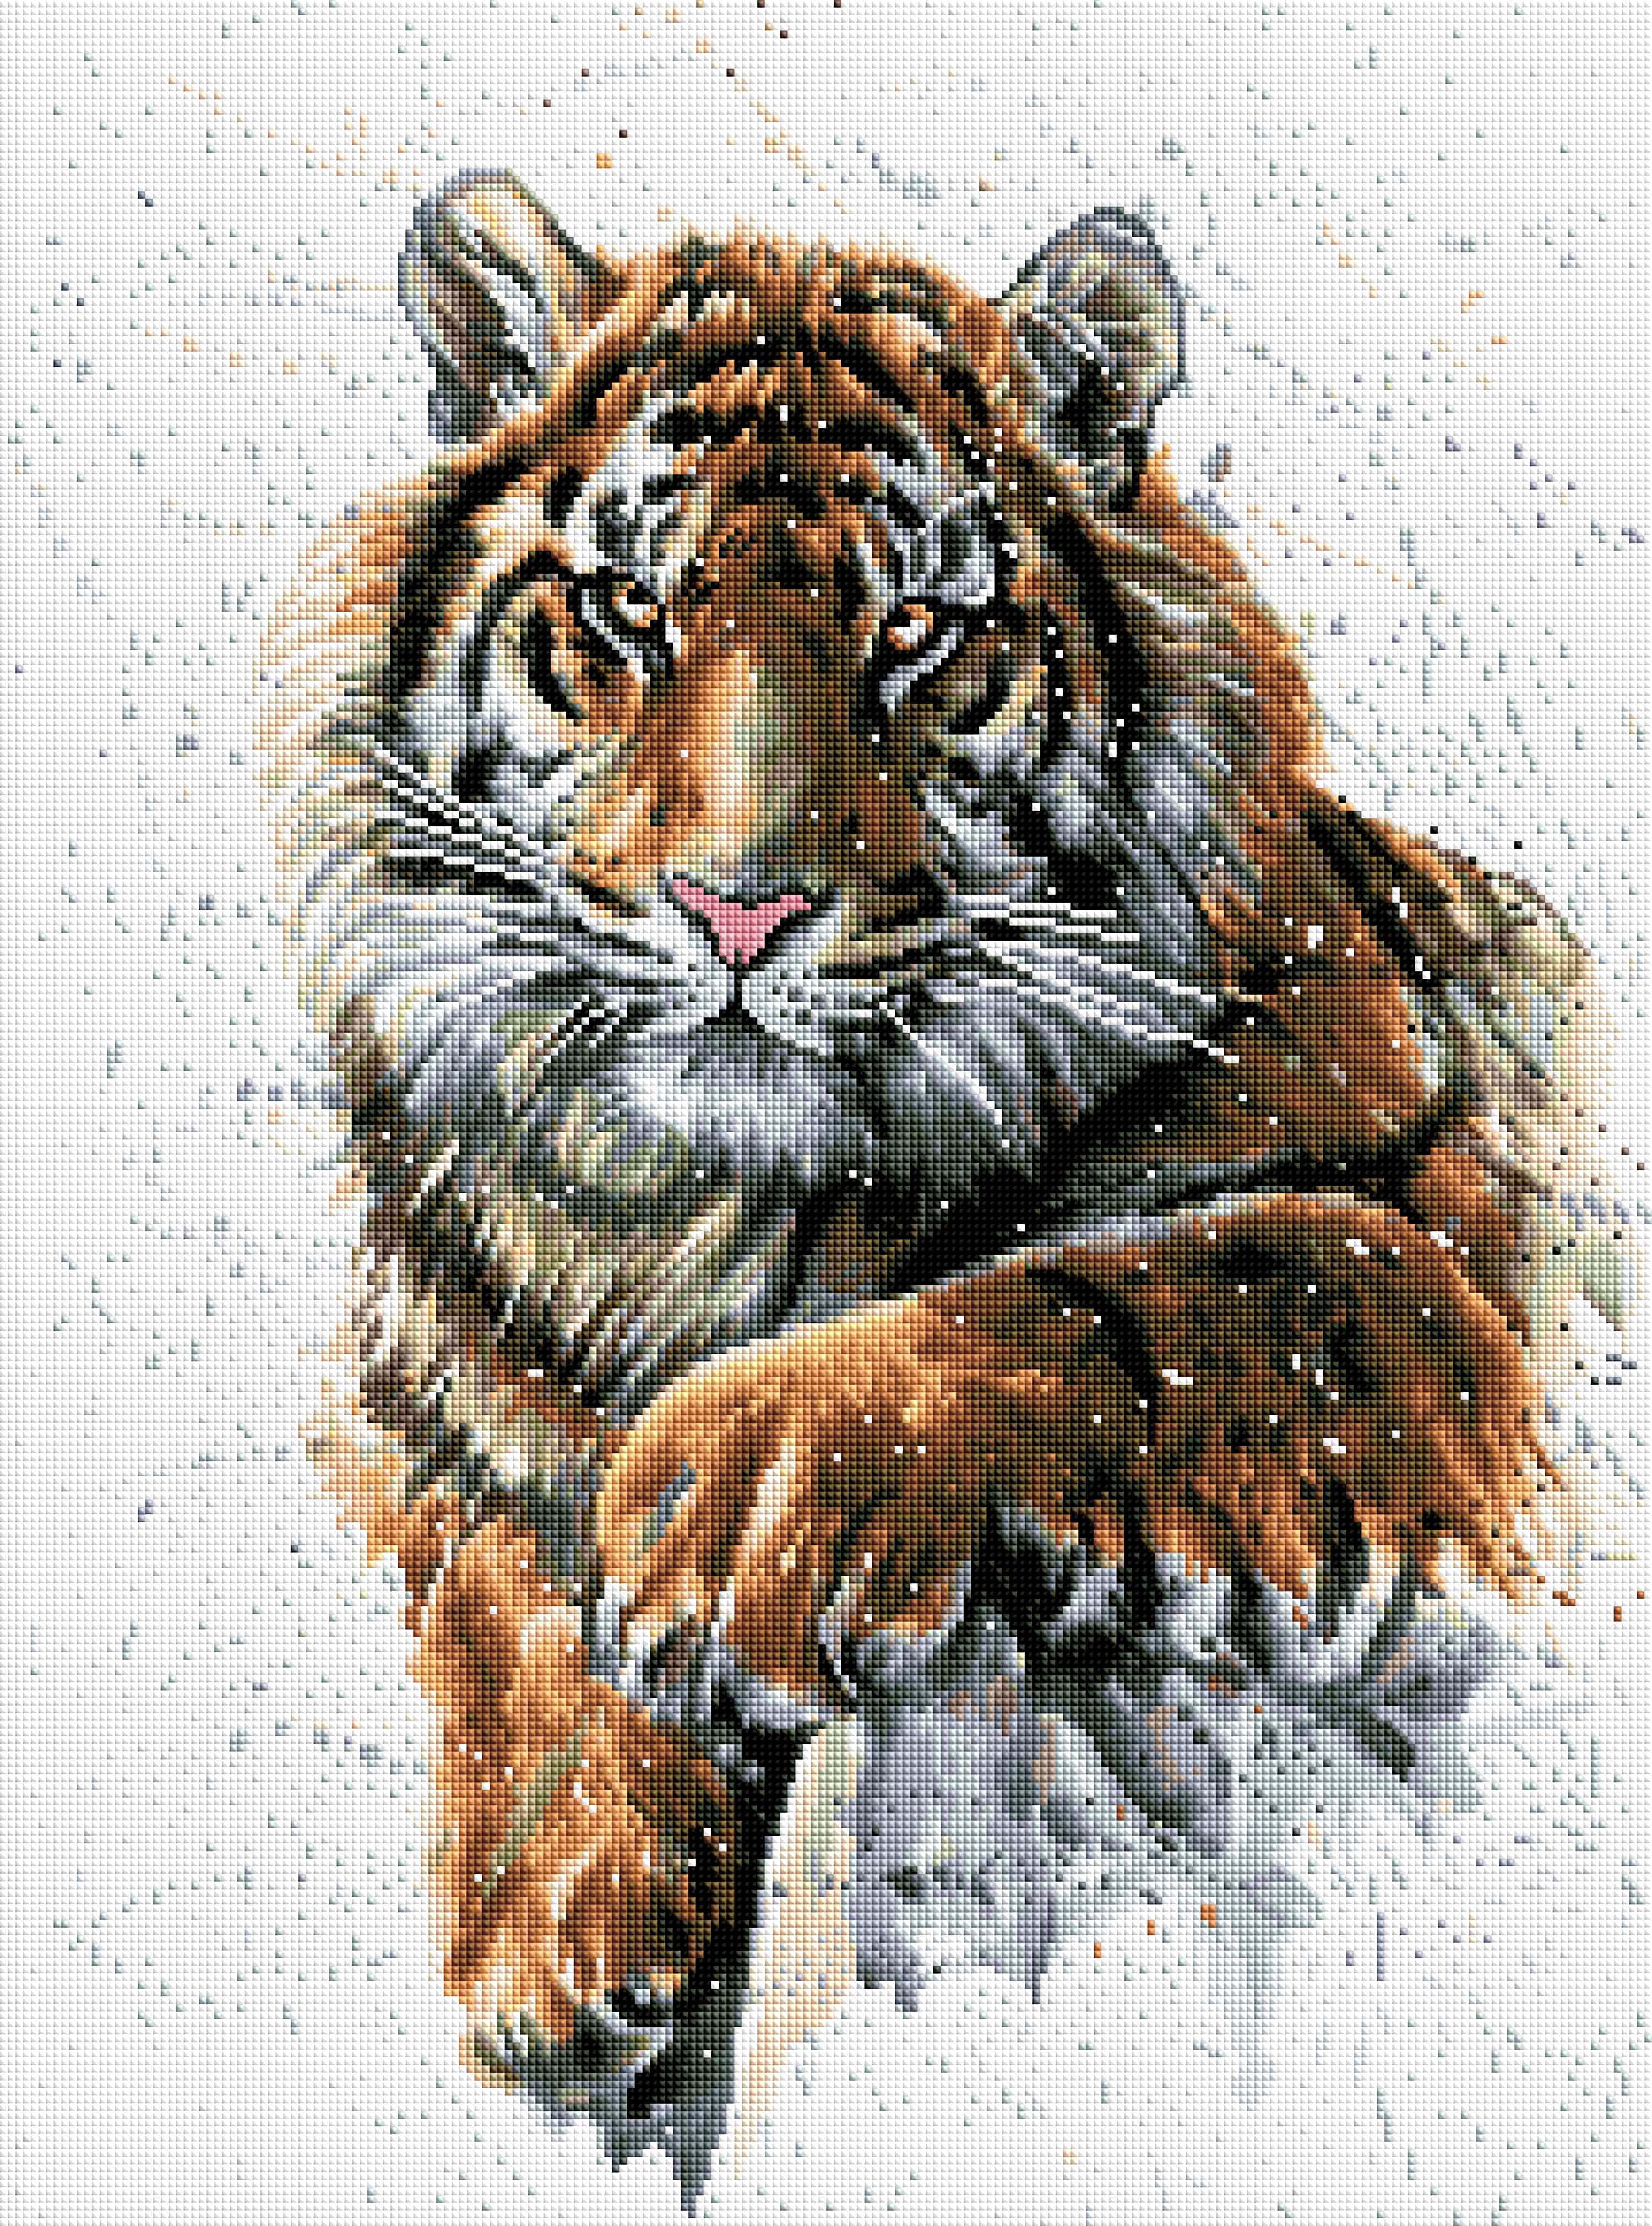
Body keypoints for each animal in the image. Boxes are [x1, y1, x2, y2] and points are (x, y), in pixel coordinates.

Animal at [259, 170, 1604, 2193]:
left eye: (912, 627)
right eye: (632, 611)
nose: (738, 909)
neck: (719, 1212)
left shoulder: (1422, 1262)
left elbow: (1101, 1295)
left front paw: (719, 1503)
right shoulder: (432, 1393)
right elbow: (496, 1576)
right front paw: (554, 1938)